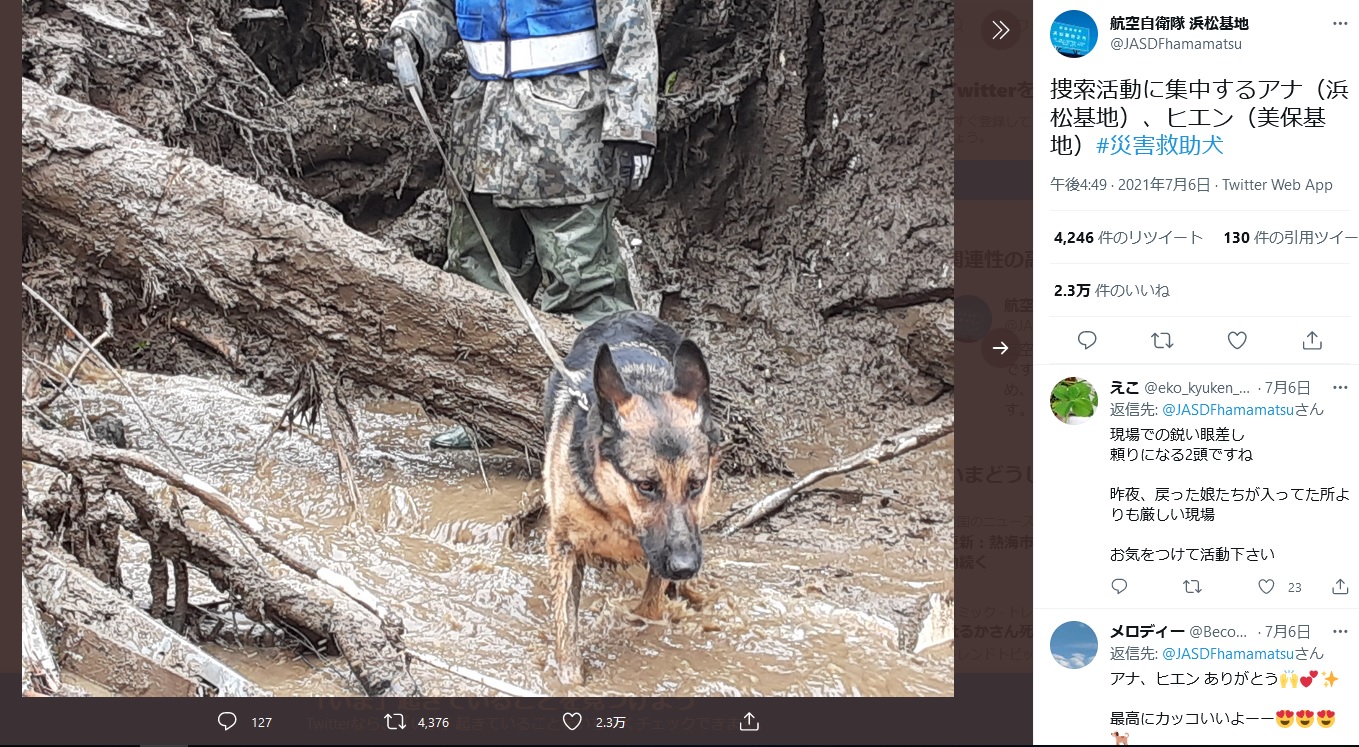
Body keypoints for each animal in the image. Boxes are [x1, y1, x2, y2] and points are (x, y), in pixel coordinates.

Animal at [543, 308, 722, 684]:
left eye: (696, 484)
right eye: (646, 485)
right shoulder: (563, 546)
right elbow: (566, 620)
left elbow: (651, 604)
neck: (617, 507)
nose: (685, 567)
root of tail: (626, 311)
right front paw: (569, 677)